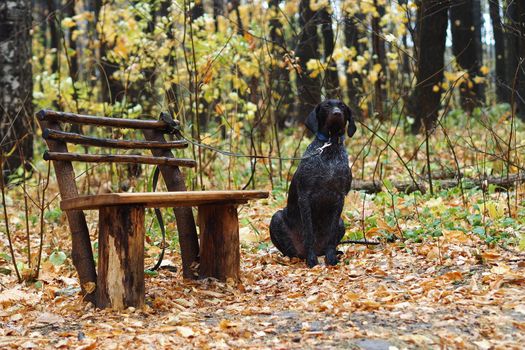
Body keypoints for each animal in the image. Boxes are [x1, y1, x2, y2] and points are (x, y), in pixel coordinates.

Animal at [270, 99, 356, 268]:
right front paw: (311, 260)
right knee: (291, 251)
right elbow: (309, 232)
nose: (337, 113)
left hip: (341, 222)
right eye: (326, 105)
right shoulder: (305, 197)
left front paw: (331, 258)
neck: (330, 146)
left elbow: (331, 236)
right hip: (276, 218)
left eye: (342, 106)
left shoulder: (340, 197)